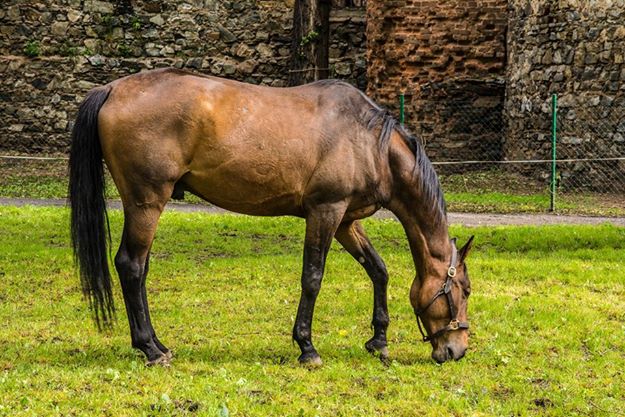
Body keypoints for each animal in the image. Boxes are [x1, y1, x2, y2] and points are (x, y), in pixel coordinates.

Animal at [68, 67, 472, 364]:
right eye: (465, 290)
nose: (457, 351)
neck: (369, 141)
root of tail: (112, 89)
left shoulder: (346, 220)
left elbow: (378, 270)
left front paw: (379, 339)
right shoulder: (325, 212)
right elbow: (312, 277)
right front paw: (307, 347)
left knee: (139, 269)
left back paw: (157, 343)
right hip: (147, 202)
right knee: (131, 266)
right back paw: (150, 349)